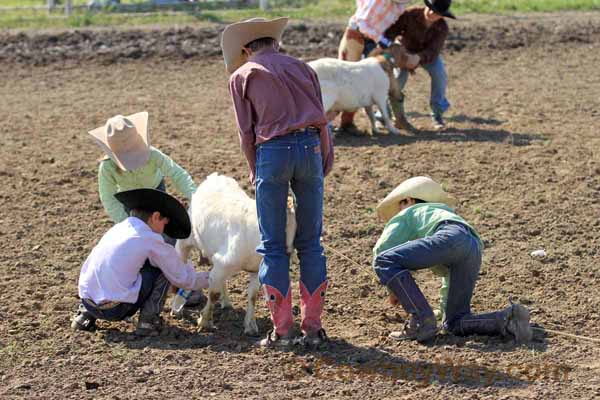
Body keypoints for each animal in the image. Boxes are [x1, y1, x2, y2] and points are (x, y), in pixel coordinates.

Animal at [175, 173, 296, 336]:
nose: (288, 252)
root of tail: (214, 176)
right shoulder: (223, 263)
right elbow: (213, 294)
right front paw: (205, 322)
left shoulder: (254, 269)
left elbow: (253, 296)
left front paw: (250, 326)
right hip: (186, 241)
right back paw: (176, 308)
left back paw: (226, 302)